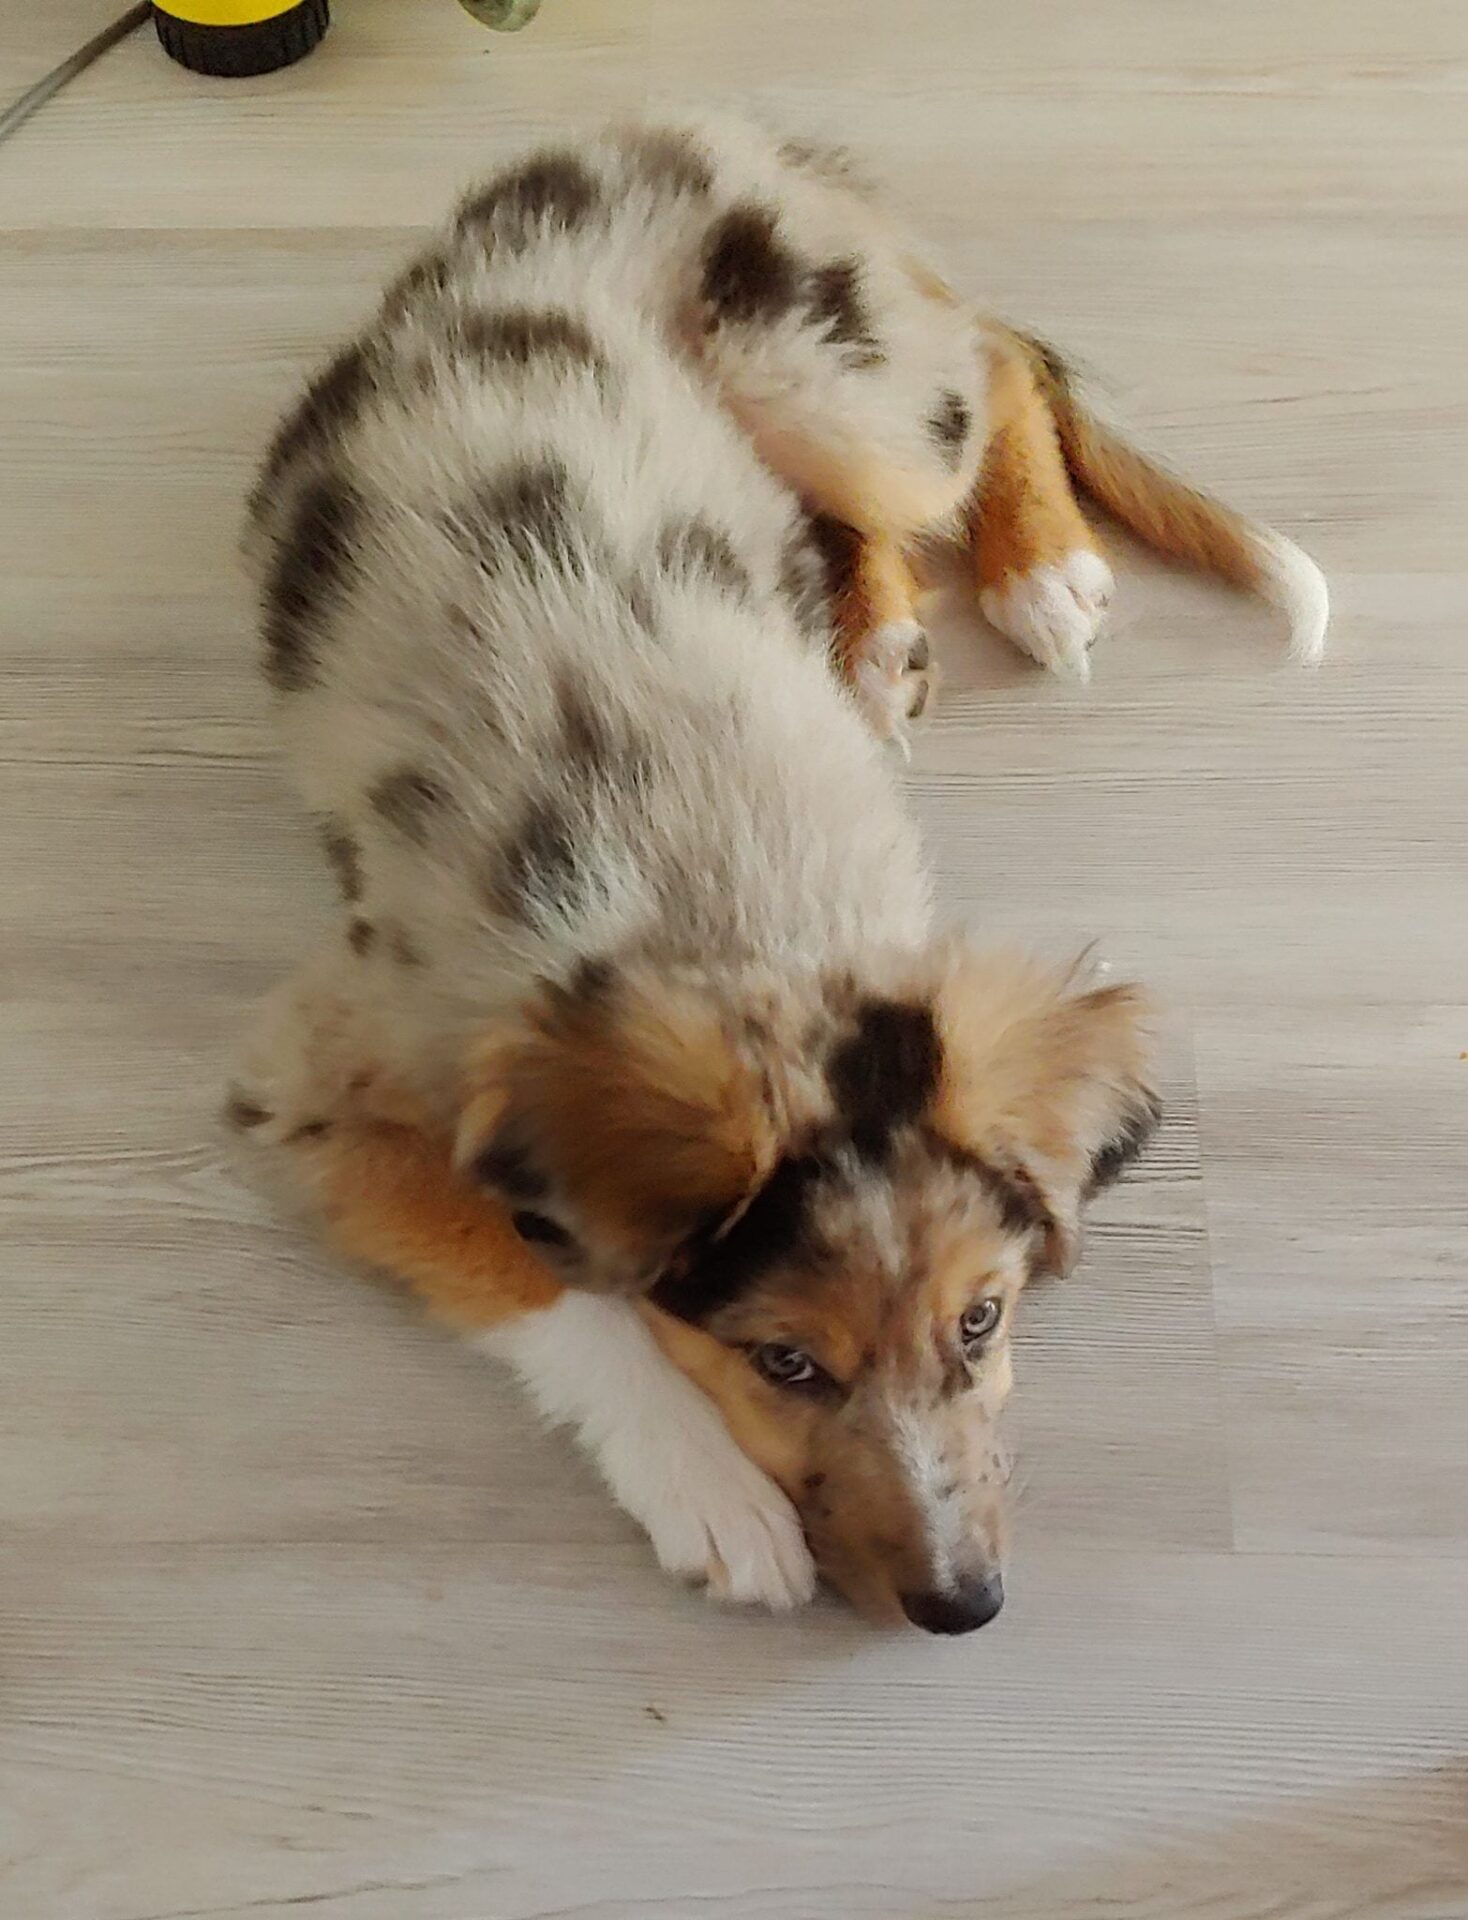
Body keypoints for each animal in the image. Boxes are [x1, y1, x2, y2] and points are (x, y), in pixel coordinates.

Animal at [230, 114, 1325, 1631]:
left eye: (981, 1321)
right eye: (785, 1364)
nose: (962, 1608)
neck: (727, 911)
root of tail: (696, 130)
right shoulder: (313, 1080)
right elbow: (541, 1282)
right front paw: (708, 1491)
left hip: (833, 386)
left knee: (992, 364)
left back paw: (1022, 573)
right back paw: (882, 639)